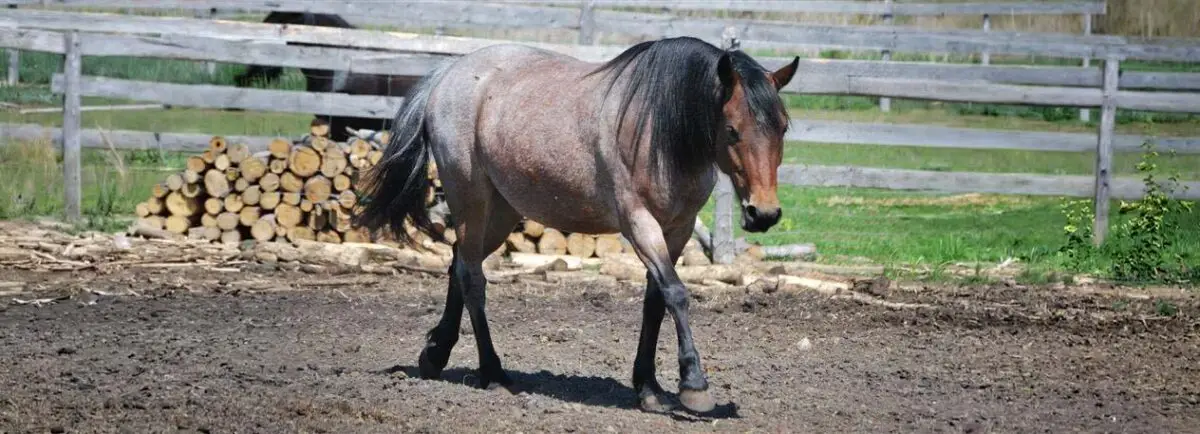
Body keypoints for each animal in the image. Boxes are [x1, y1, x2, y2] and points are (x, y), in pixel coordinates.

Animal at [356, 36, 798, 415]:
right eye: (732, 130)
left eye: (782, 127)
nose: (764, 214)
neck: (658, 129)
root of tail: (448, 74)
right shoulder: (639, 224)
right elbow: (676, 293)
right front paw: (694, 386)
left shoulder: (678, 229)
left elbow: (655, 301)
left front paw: (649, 388)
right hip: (472, 201)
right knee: (472, 278)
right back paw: (493, 373)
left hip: (501, 211)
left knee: (458, 264)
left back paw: (436, 354)